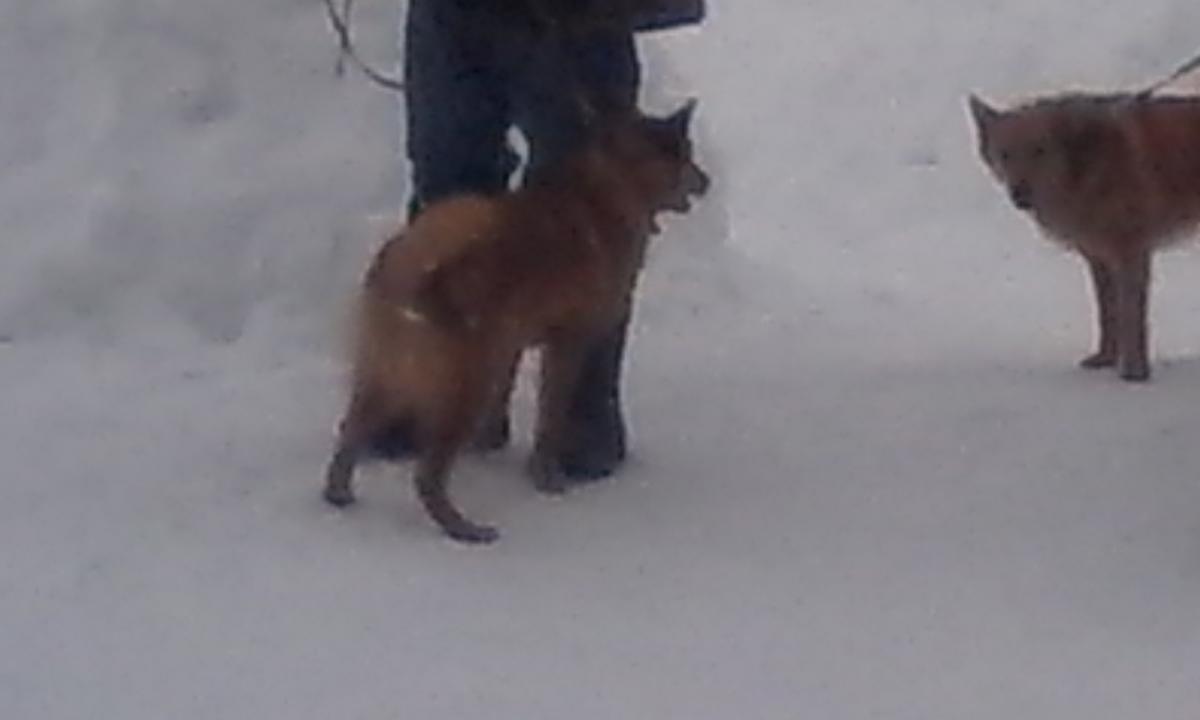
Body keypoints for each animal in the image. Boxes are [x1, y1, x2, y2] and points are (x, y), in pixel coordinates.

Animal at [323, 101, 709, 544]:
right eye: (681, 156)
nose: (707, 181)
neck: (606, 192)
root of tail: (412, 267)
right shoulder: (566, 343)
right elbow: (550, 418)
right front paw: (547, 477)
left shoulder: (510, 345)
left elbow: (504, 401)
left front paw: (490, 443)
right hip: (465, 383)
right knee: (427, 475)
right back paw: (463, 528)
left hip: (383, 373)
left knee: (349, 434)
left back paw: (339, 493)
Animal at [970, 91, 1200, 381]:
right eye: (1006, 154)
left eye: (1039, 150)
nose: (1020, 195)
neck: (1082, 167)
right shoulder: (1099, 258)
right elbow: (1107, 313)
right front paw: (1106, 358)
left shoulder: (1132, 253)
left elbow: (1131, 317)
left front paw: (1134, 371)